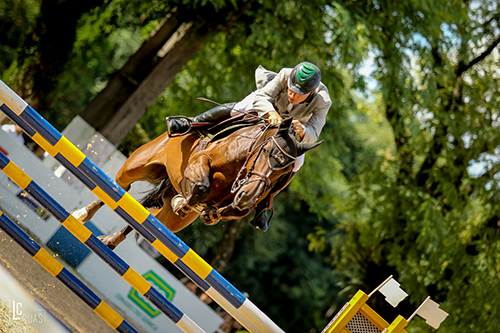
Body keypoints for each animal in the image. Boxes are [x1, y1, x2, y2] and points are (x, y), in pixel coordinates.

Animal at [72, 115, 322, 248]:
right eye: (267, 150)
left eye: (285, 174)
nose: (247, 196)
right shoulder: (200, 160)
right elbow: (202, 185)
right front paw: (185, 201)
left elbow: (232, 210)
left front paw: (209, 213)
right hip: (137, 167)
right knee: (119, 187)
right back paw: (82, 213)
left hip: (171, 221)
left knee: (144, 218)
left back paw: (111, 240)